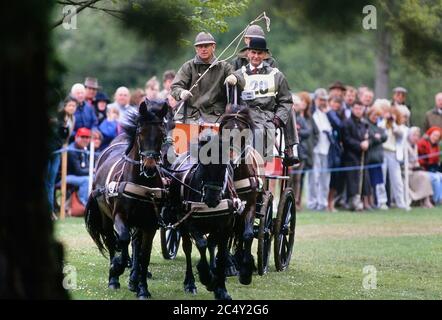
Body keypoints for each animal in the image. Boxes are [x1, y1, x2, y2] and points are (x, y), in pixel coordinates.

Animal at [84, 99, 173, 298]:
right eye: (140, 133)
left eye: (162, 134)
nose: (149, 167)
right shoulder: (120, 216)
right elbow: (123, 239)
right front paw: (117, 267)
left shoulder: (149, 224)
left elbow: (144, 255)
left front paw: (143, 288)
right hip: (106, 218)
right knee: (112, 241)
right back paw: (114, 278)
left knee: (135, 244)